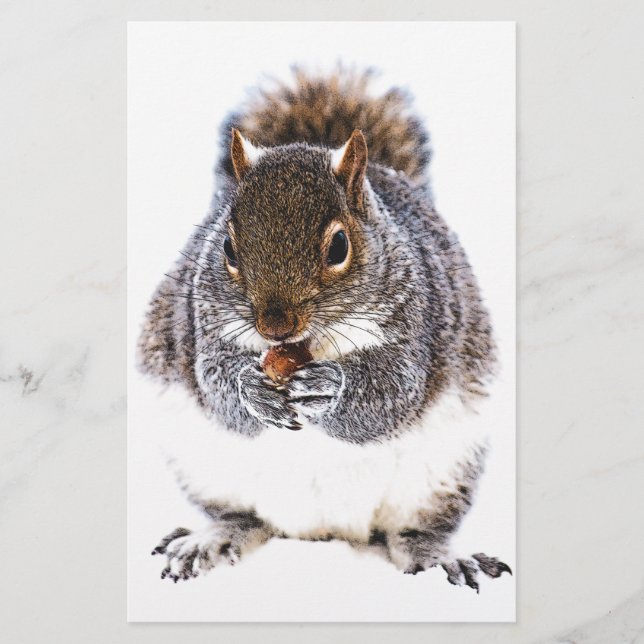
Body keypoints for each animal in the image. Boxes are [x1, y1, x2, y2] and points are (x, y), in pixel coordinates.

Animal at [138, 67, 511, 590]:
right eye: (227, 246)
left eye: (338, 246)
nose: (274, 325)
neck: (305, 345)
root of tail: (322, 531)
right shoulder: (202, 325)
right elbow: (215, 384)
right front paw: (251, 389)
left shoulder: (417, 327)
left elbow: (392, 395)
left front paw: (329, 388)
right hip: (205, 468)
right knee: (241, 517)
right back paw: (210, 540)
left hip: (442, 475)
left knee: (415, 531)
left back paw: (440, 558)